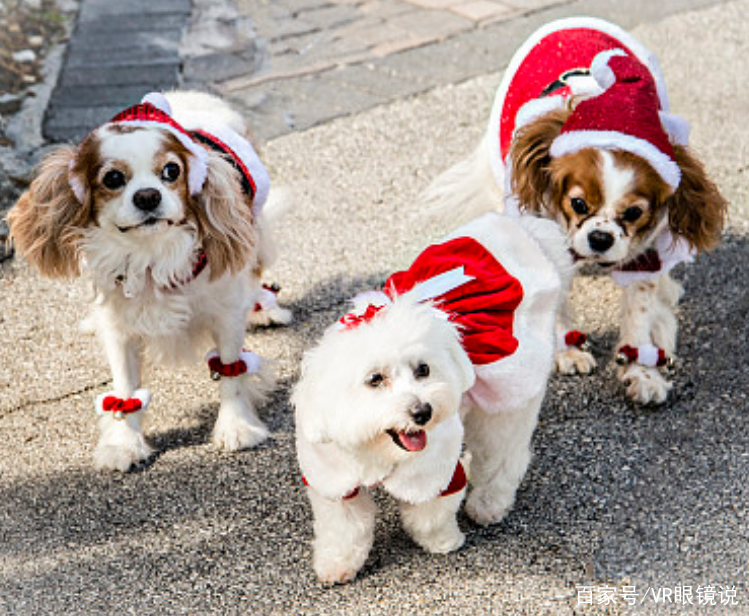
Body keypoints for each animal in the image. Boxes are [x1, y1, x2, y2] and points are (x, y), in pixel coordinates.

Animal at [9, 90, 290, 472]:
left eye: (171, 171)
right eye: (113, 178)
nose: (147, 195)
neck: (151, 256)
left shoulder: (226, 312)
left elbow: (231, 371)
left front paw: (237, 427)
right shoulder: (120, 328)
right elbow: (125, 390)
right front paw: (124, 443)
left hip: (254, 233)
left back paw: (264, 309)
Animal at [292, 212, 572, 584]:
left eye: (423, 369)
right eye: (375, 379)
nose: (422, 412)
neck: (377, 450)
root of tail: (522, 227)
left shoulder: (435, 463)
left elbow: (430, 510)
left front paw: (442, 540)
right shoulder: (332, 472)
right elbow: (344, 525)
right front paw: (337, 563)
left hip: (512, 389)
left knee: (503, 453)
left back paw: (488, 503)